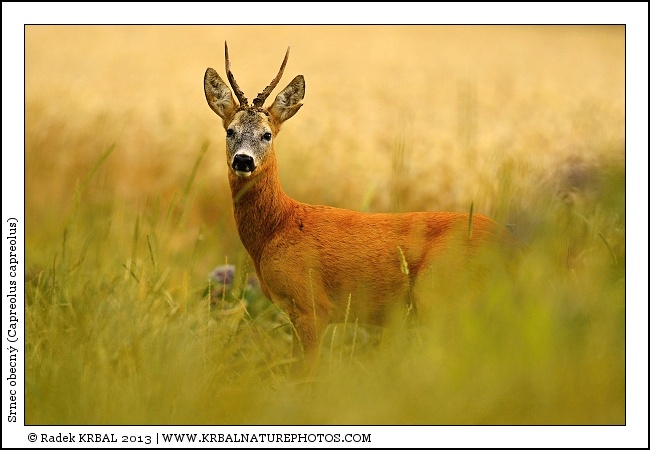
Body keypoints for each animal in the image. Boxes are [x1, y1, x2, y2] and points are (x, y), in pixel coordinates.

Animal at [204, 42, 513, 372]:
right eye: (230, 131)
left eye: (267, 134)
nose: (243, 160)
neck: (277, 227)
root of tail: (512, 246)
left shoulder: (312, 306)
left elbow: (305, 372)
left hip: (440, 294)